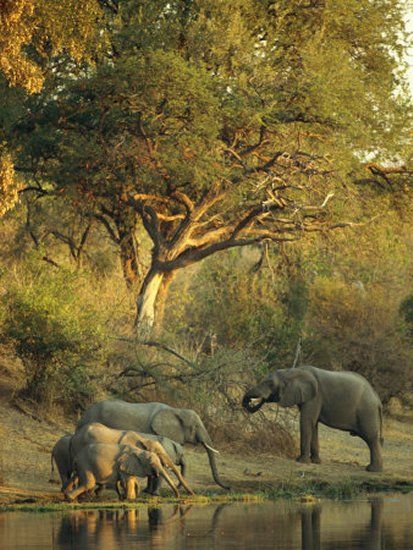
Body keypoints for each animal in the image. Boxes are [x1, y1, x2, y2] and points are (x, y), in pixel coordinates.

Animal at [241, 366, 384, 474]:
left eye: (270, 384)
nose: (254, 400)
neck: (292, 371)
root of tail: (378, 400)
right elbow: (313, 424)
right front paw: (316, 462)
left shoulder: (315, 397)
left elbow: (306, 421)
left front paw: (301, 461)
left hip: (367, 412)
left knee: (371, 438)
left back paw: (372, 470)